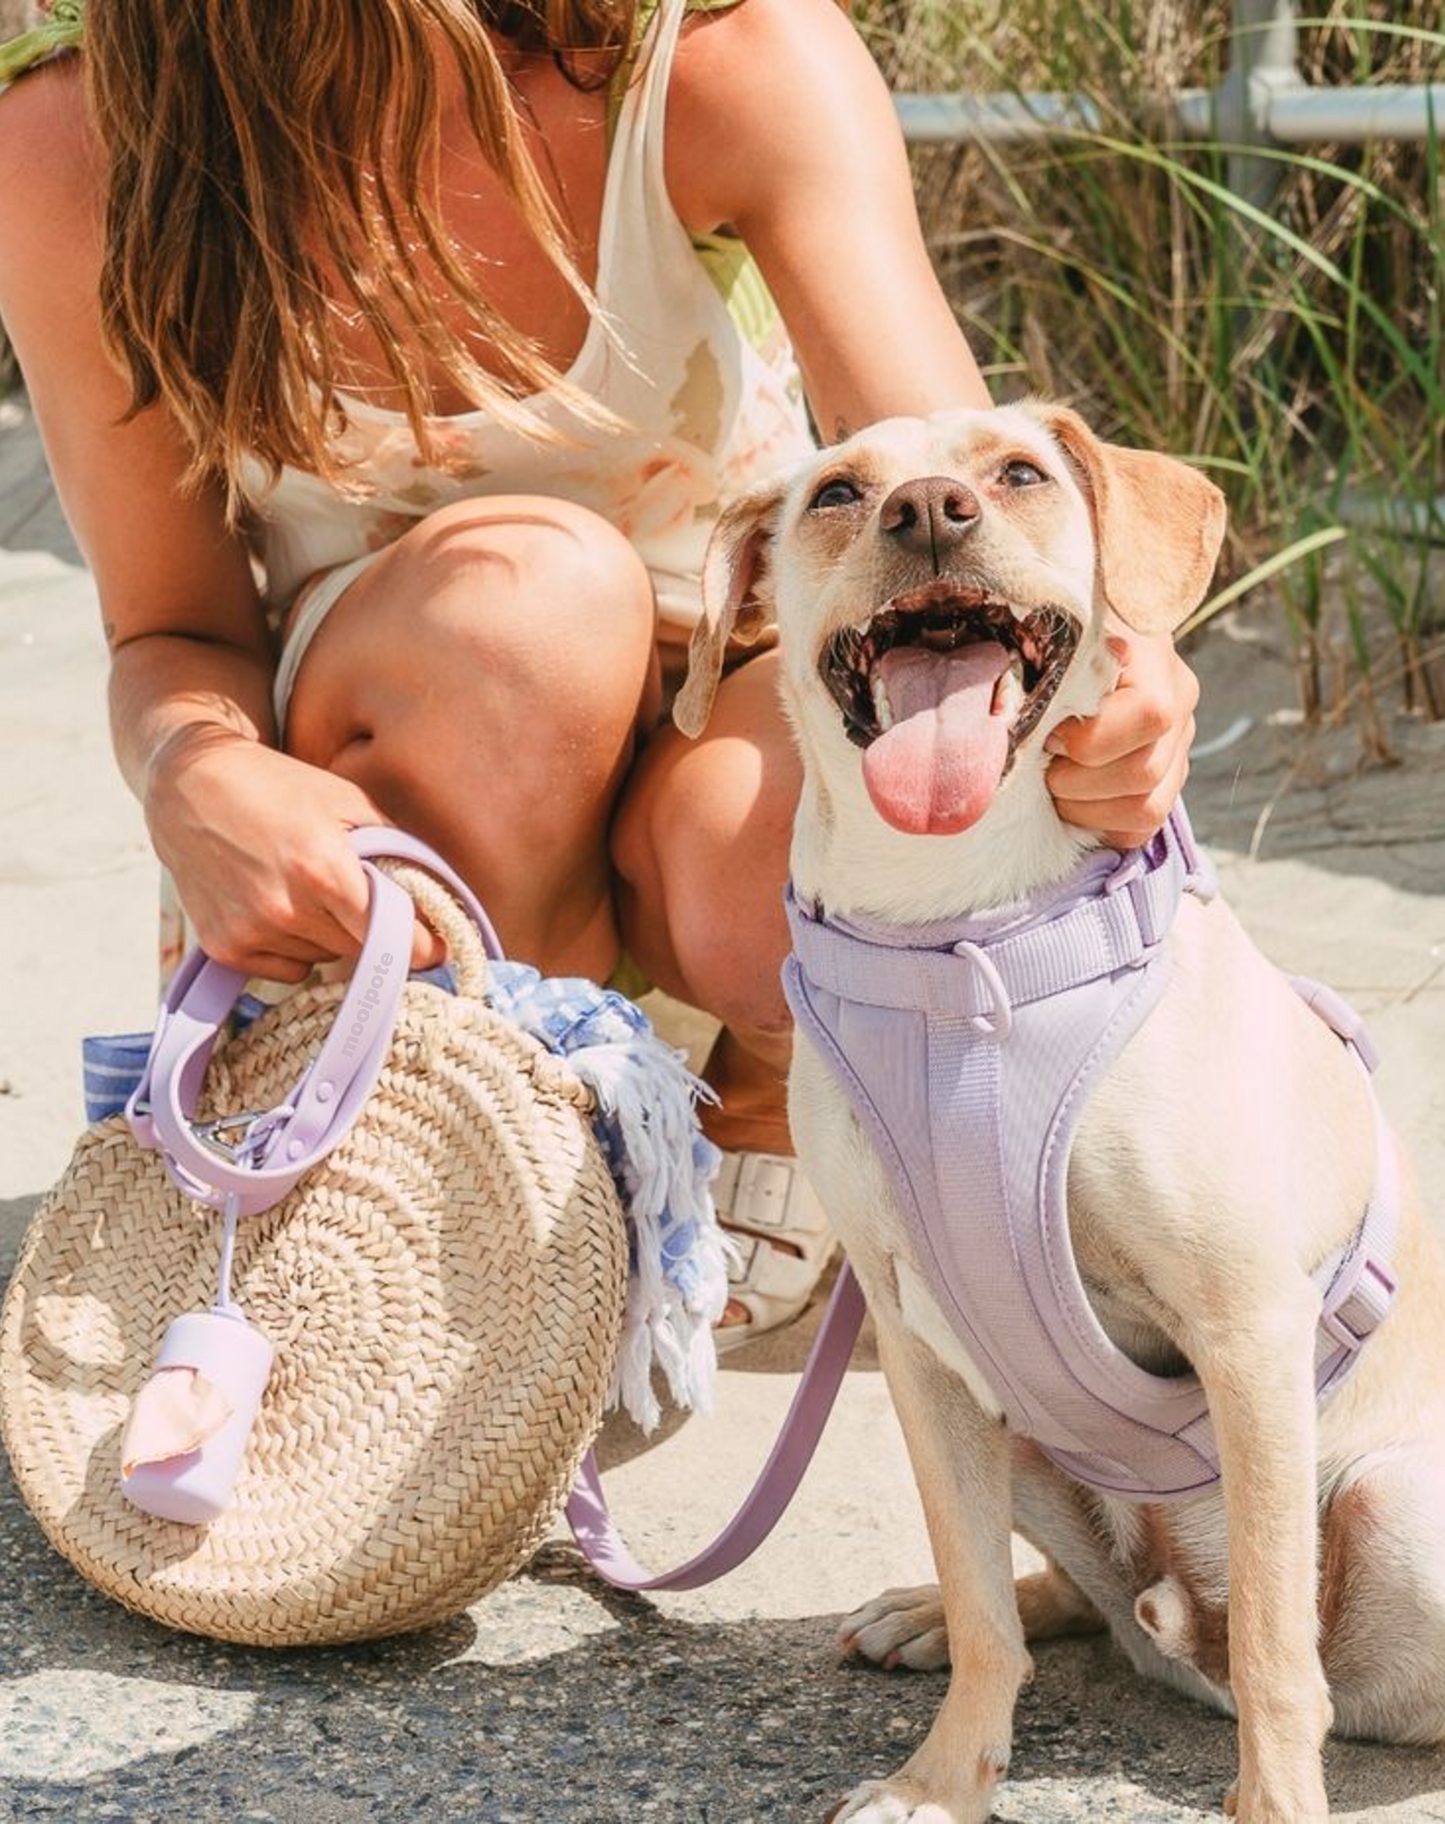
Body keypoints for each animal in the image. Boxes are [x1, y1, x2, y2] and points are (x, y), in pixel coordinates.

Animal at [675, 403, 1445, 1824]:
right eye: (837, 493)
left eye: (1020, 472)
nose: (927, 510)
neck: (961, 943)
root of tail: (1175, 1624)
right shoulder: (917, 1353)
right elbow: (984, 1601)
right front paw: (942, 1778)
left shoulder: (1245, 1332)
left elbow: (1277, 1650)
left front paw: (1273, 1805)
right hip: (1020, 1426)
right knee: (1065, 1604)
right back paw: (929, 1615)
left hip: (1392, 1511)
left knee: (1283, 1653)